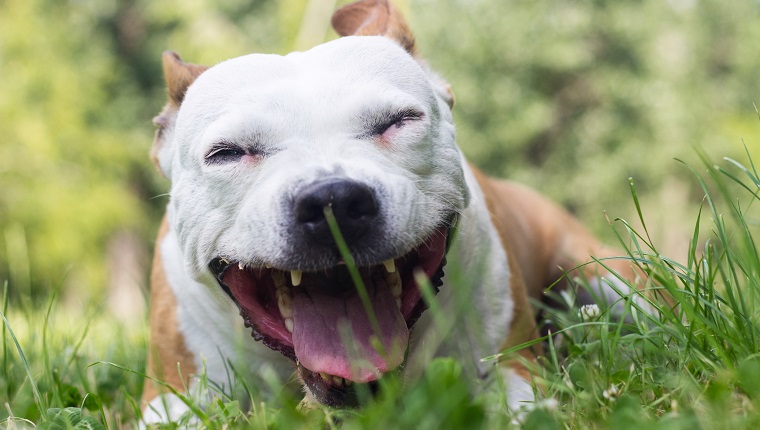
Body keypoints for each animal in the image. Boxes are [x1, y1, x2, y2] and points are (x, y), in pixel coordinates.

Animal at [140, 0, 644, 424]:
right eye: (226, 153)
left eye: (399, 121)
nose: (332, 201)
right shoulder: (171, 395)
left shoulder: (510, 365)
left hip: (610, 279)